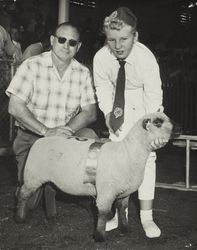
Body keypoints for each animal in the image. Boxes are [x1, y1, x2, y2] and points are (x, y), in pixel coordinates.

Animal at [14, 112, 180, 241]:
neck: (127, 152)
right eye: (158, 122)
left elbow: (122, 209)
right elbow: (103, 213)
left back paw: (51, 216)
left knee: (49, 192)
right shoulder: (106, 192)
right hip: (32, 175)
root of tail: (41, 139)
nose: (179, 128)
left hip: (51, 177)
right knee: (23, 195)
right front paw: (100, 236)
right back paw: (20, 218)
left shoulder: (124, 192)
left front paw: (125, 229)